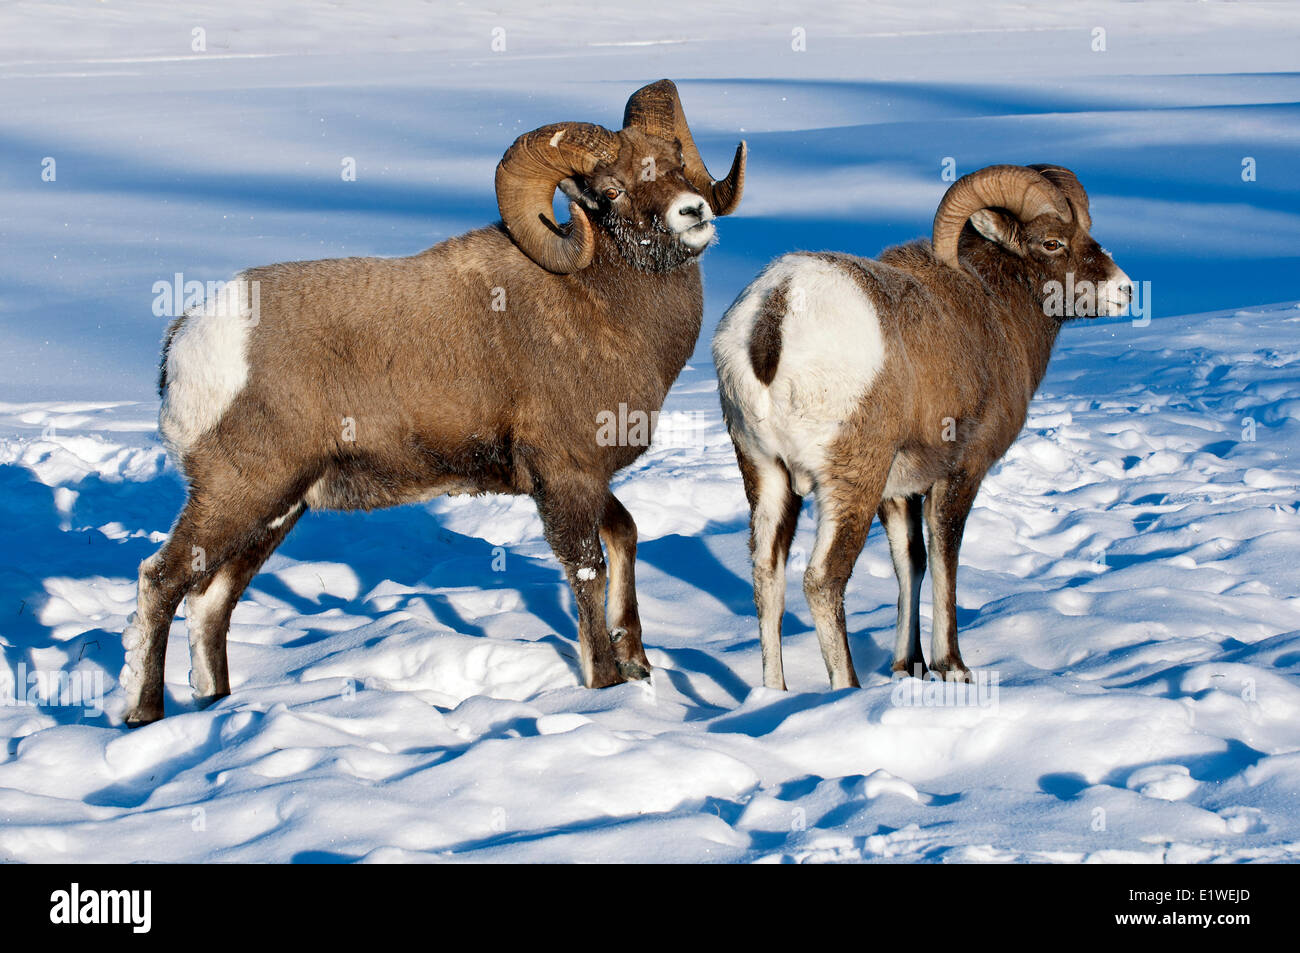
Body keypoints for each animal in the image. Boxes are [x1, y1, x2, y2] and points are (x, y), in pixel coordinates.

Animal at [121, 79, 746, 725]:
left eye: (675, 165)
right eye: (613, 189)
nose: (693, 214)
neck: (599, 307)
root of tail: (188, 336)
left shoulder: (584, 479)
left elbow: (625, 535)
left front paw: (639, 663)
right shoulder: (567, 476)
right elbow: (588, 572)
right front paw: (605, 684)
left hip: (276, 509)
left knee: (210, 601)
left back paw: (215, 704)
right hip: (238, 495)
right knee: (161, 582)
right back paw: (143, 714)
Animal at [713, 164, 1131, 690]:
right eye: (1052, 242)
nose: (1125, 291)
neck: (997, 310)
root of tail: (776, 312)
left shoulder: (898, 489)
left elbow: (909, 562)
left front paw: (906, 665)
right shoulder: (959, 473)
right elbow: (944, 557)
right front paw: (951, 666)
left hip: (765, 474)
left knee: (767, 574)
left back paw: (777, 693)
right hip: (851, 481)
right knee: (823, 579)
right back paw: (847, 690)